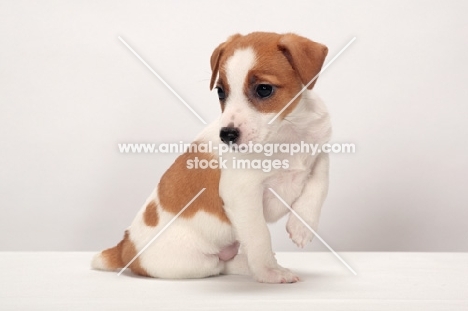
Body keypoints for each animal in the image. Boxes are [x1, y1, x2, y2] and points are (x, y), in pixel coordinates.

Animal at [91, 32, 330, 286]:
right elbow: (259, 235)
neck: (286, 133)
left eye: (264, 89)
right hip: (196, 263)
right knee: (220, 265)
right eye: (220, 92)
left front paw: (302, 226)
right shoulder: (242, 193)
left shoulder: (322, 152)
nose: (227, 135)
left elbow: (319, 184)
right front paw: (269, 272)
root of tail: (126, 246)